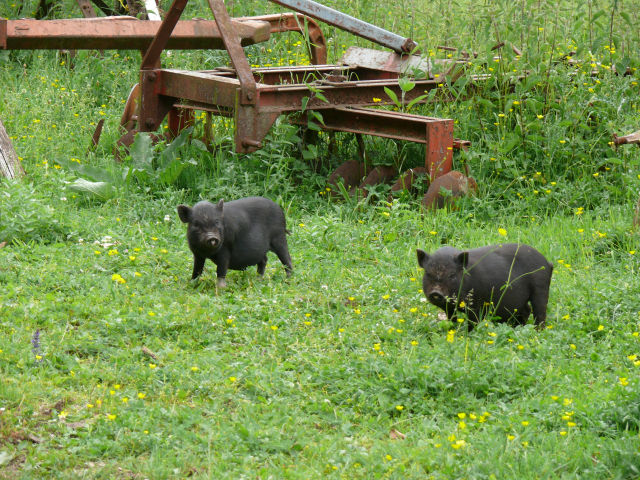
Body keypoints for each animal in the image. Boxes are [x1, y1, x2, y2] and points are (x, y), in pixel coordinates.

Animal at [418, 242, 552, 328]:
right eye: (428, 274)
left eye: (451, 275)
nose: (436, 292)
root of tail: (547, 263)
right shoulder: (449, 307)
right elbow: (452, 319)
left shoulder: (476, 303)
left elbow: (474, 321)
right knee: (526, 309)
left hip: (541, 287)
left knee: (540, 312)